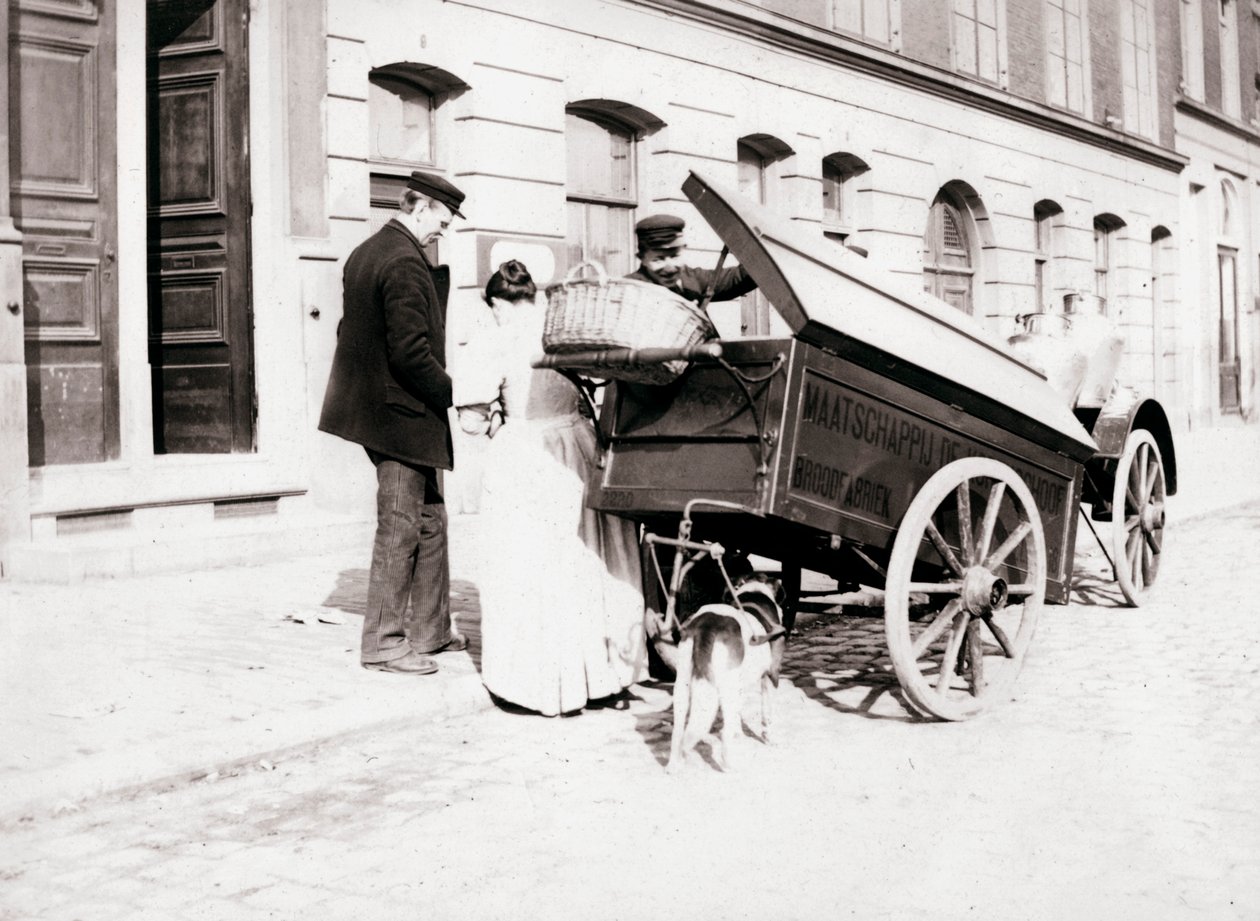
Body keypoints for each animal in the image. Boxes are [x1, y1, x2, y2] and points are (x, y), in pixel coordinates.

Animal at [670, 577, 786, 771]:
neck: (754, 592)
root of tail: (707, 625)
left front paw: (738, 735)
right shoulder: (772, 674)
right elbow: (767, 714)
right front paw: (771, 738)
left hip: (683, 685)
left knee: (678, 730)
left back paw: (673, 766)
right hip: (727, 686)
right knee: (724, 732)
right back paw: (729, 765)